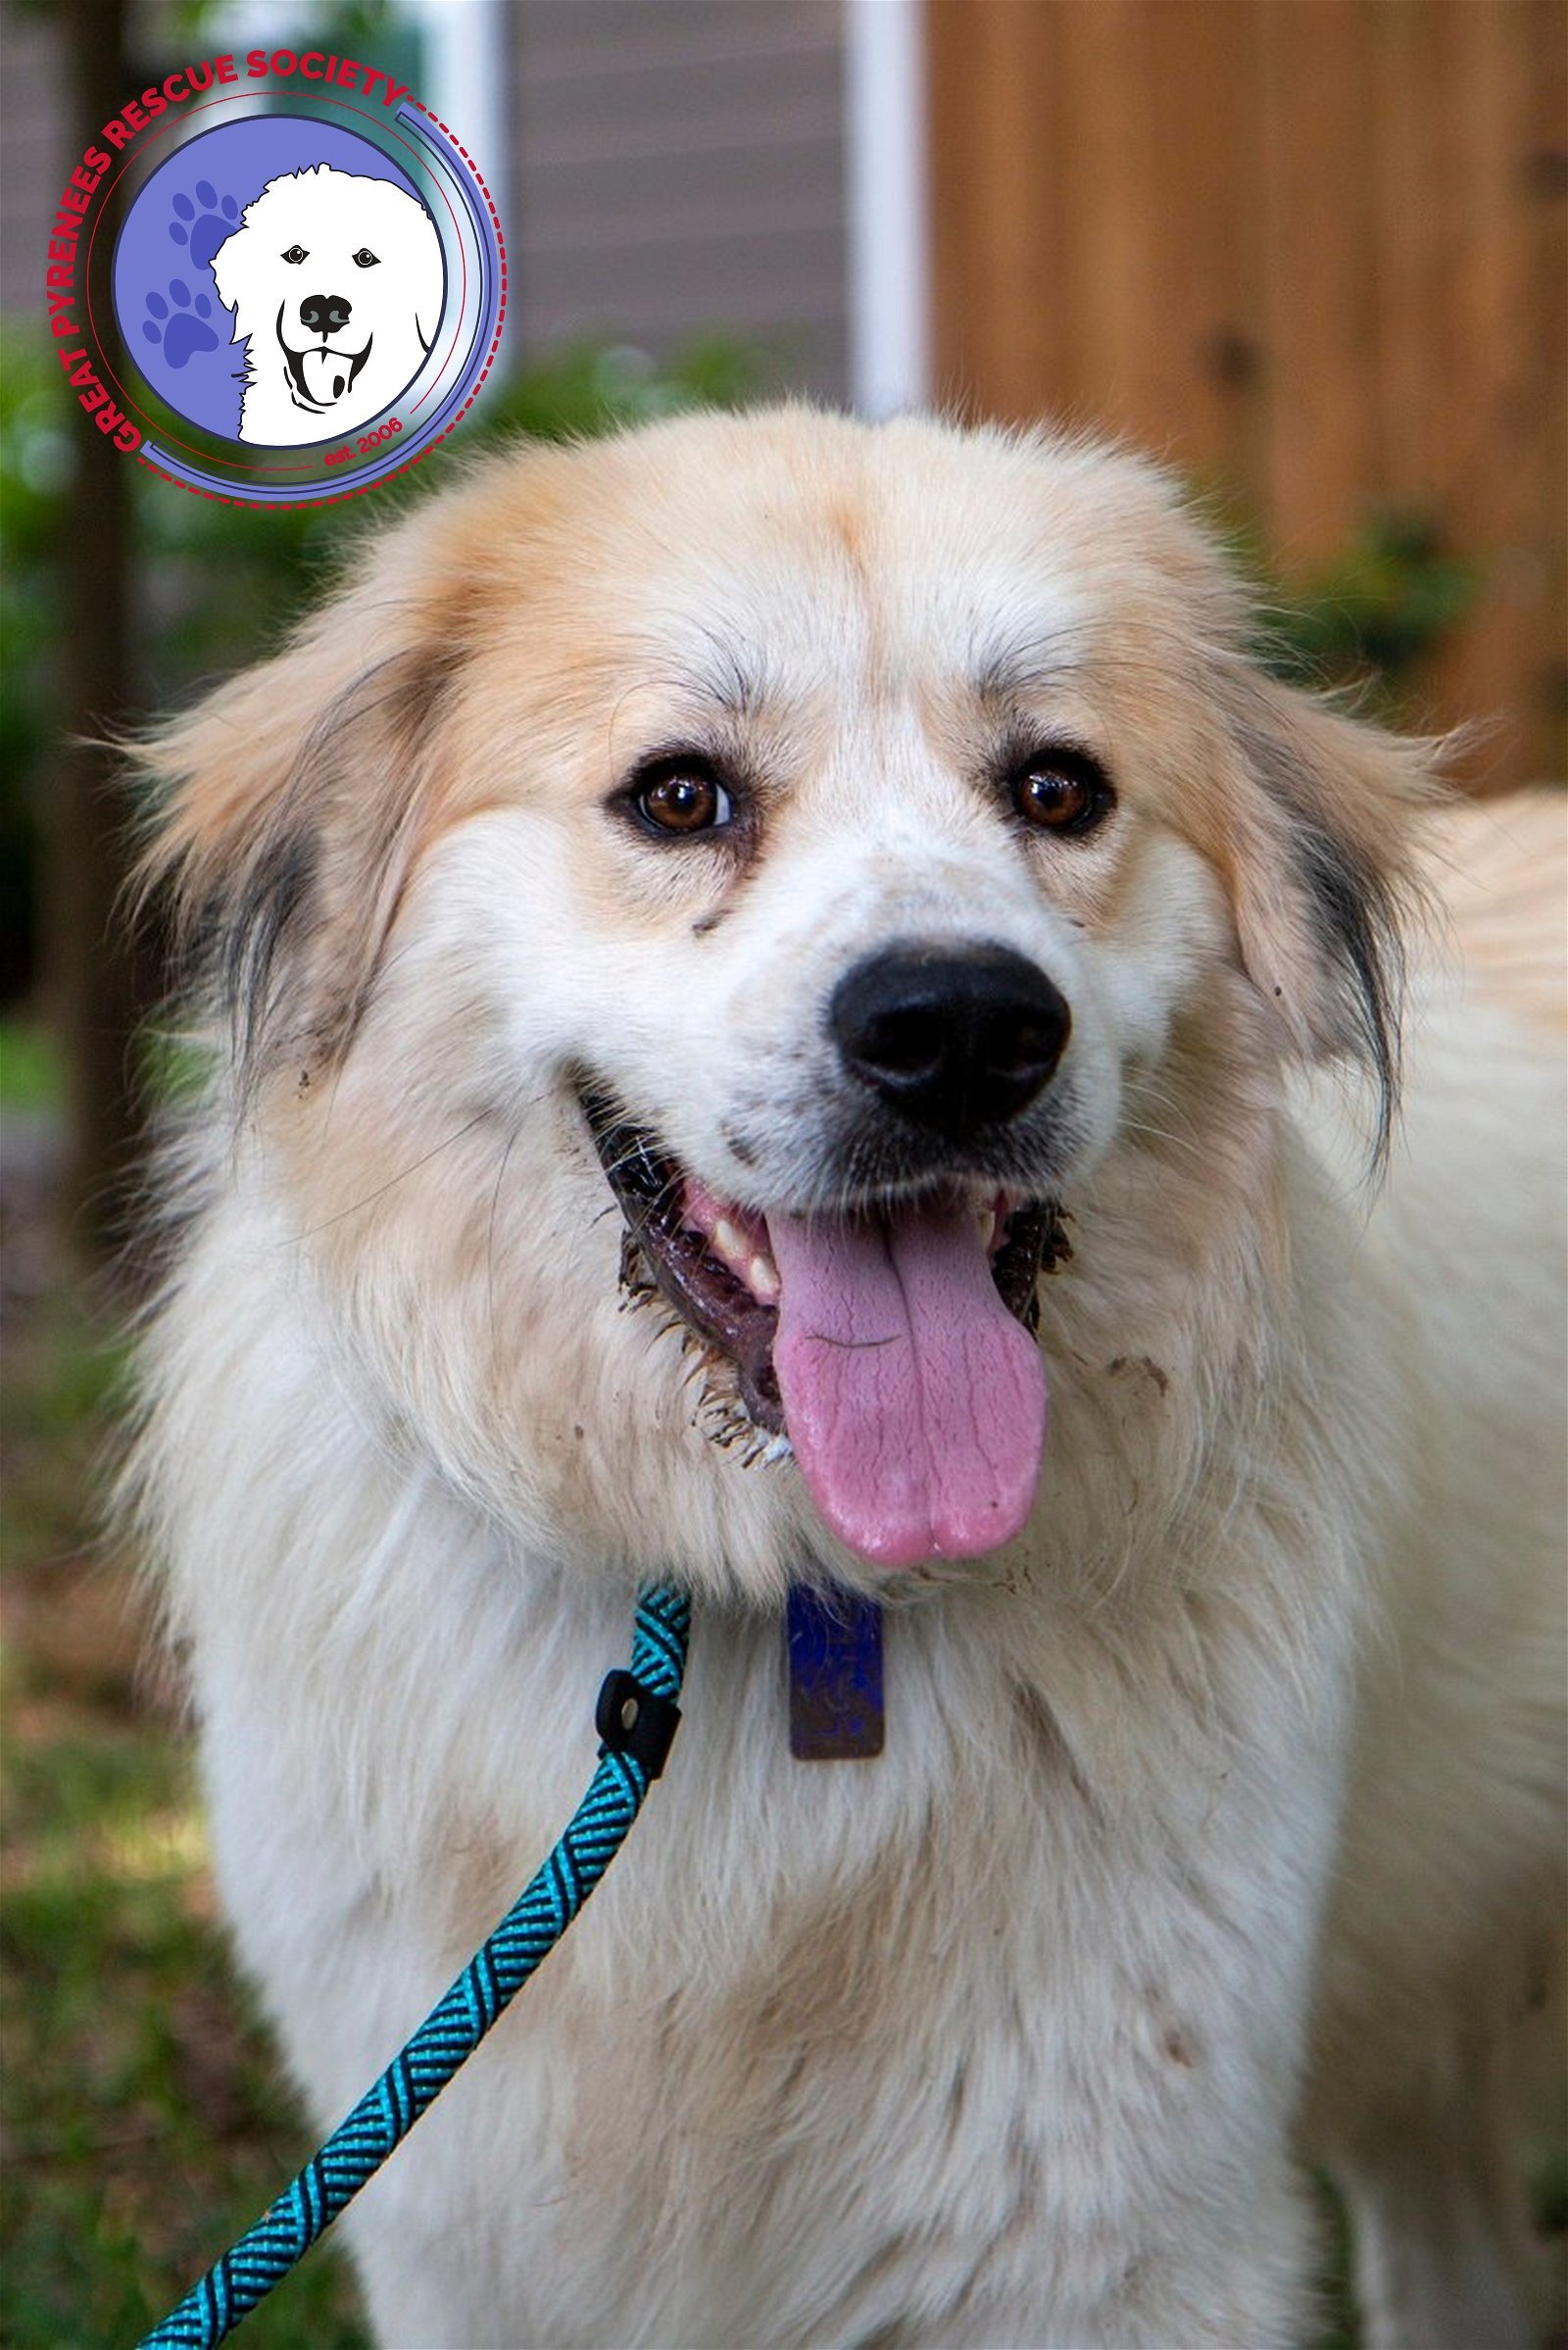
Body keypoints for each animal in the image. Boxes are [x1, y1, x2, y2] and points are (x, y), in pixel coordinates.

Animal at [128, 414, 1560, 2340]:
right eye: (680, 797)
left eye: (1058, 789)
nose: (960, 1029)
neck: (787, 1591)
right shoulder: (466, 2232)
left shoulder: (1115, 2241)